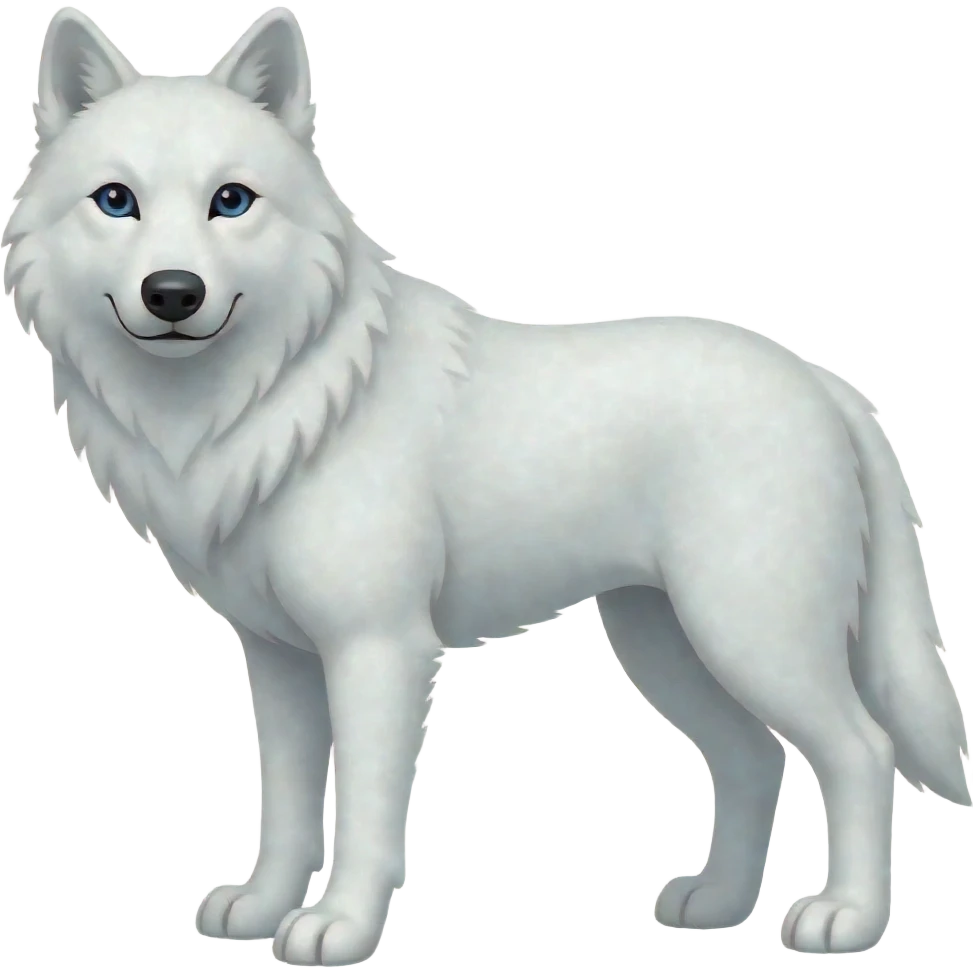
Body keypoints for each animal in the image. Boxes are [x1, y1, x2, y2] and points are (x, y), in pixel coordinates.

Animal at [5, 5, 968, 966]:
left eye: (230, 201)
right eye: (116, 201)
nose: (172, 292)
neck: (275, 402)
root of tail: (823, 381)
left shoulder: (378, 649)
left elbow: (360, 814)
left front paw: (339, 927)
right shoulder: (278, 659)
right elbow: (286, 808)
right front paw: (262, 908)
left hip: (750, 635)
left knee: (860, 748)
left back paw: (844, 918)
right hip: (665, 642)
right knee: (752, 757)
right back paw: (718, 904)